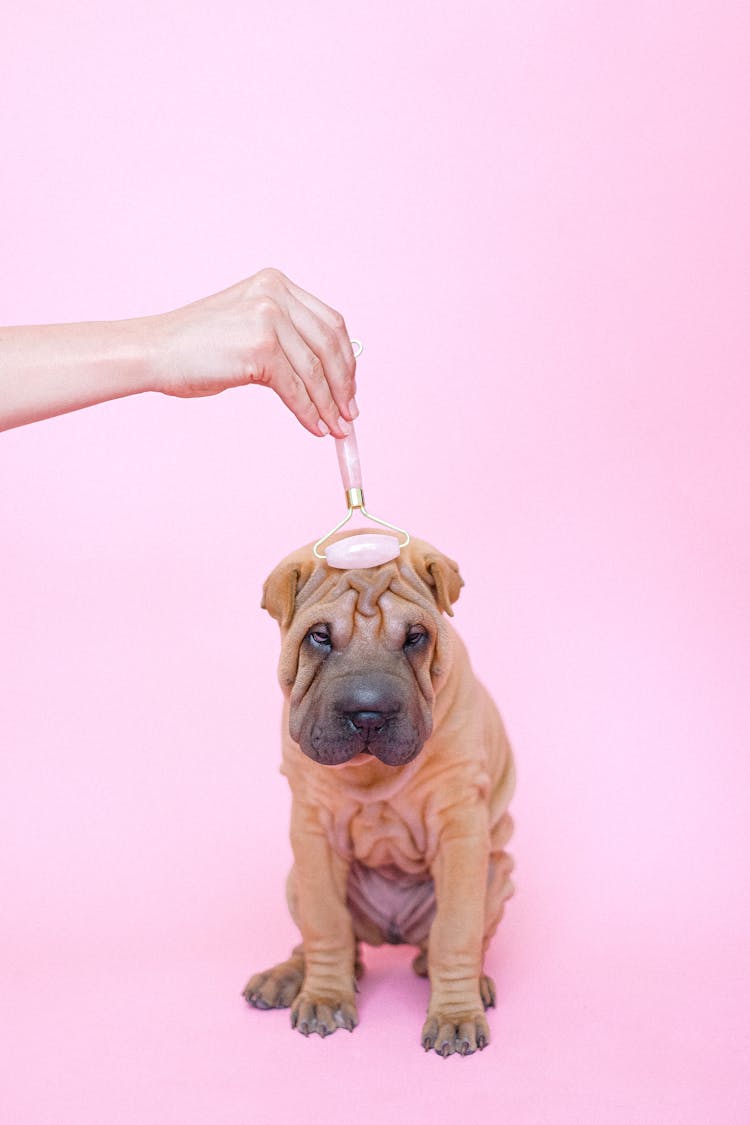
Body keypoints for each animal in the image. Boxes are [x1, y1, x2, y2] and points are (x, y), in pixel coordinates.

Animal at [246, 535, 517, 1053]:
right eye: (319, 636)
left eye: (414, 637)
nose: (368, 714)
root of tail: (392, 932)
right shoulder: (313, 835)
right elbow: (327, 925)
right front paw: (324, 997)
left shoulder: (461, 833)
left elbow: (456, 933)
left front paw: (456, 1014)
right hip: (295, 881)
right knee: (332, 944)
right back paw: (287, 975)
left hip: (498, 876)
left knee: (456, 941)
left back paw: (472, 980)